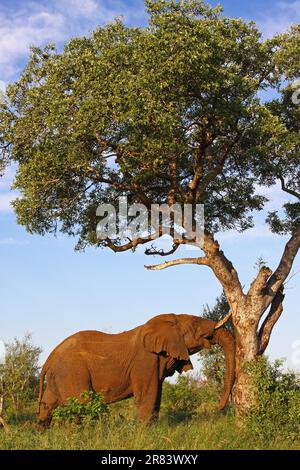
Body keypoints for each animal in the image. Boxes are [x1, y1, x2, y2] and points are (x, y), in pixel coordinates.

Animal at [37, 312, 234, 426]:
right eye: (194, 323)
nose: (220, 407)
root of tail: (49, 358)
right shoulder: (145, 361)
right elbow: (148, 396)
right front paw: (145, 435)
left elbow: (157, 396)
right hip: (71, 372)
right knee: (81, 407)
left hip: (58, 377)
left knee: (47, 407)